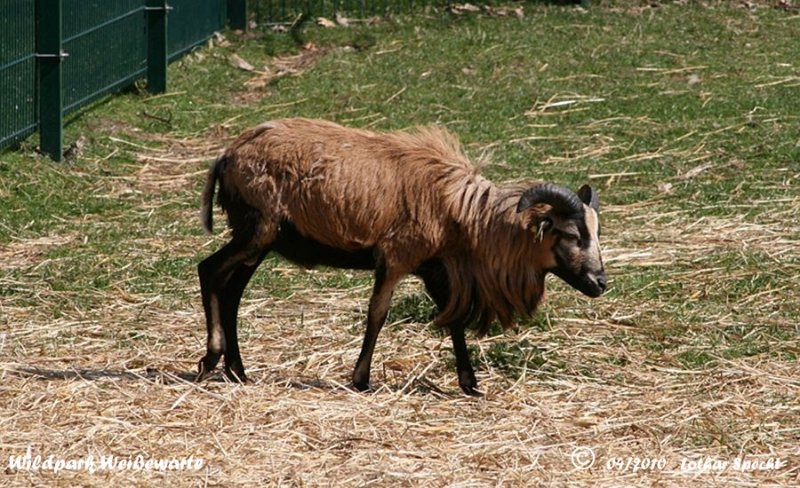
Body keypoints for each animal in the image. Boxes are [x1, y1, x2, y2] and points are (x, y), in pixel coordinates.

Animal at [196, 118, 606, 396]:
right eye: (572, 235)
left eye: (597, 232)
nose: (600, 283)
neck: (464, 213)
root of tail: (227, 156)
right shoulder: (396, 258)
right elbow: (378, 313)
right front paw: (361, 379)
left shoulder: (435, 269)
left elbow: (453, 320)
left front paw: (470, 383)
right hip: (257, 230)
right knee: (208, 270)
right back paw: (212, 358)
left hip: (260, 243)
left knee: (231, 292)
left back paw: (236, 370)